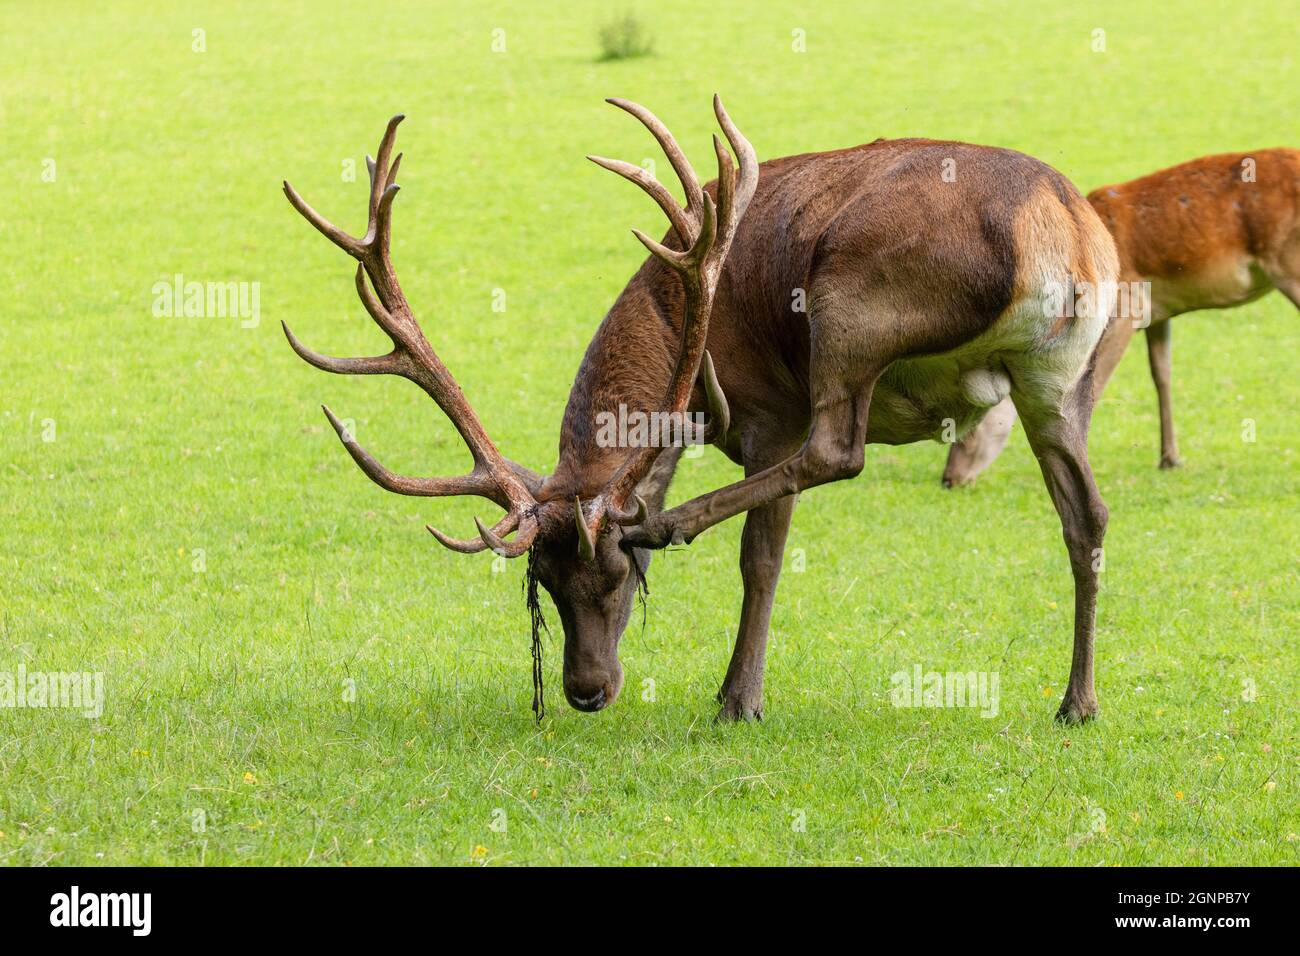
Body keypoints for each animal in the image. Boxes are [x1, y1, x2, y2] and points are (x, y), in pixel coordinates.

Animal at [282, 98, 1118, 723]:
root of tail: (1060, 229)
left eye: (617, 576)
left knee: (836, 451)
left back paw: (677, 525)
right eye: (544, 584)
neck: (670, 313)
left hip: (848, 309)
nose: (585, 691)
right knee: (1087, 512)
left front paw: (738, 698)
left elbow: (762, 556)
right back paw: (1077, 701)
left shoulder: (770, 411)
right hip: (1059, 379)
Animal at [946, 148, 1300, 486]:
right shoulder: (1158, 312)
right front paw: (1169, 458)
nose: (949, 478)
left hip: (1288, 266)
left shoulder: (1126, 306)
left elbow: (1094, 383)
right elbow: (1161, 374)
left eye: (970, 429)